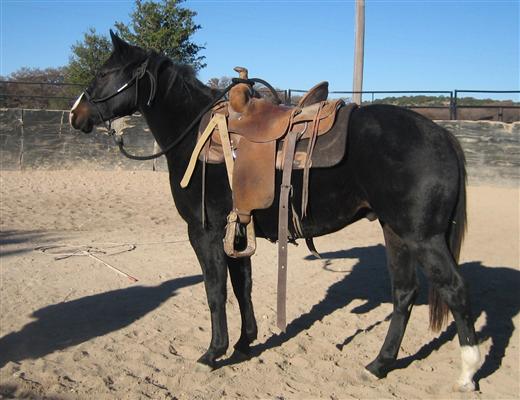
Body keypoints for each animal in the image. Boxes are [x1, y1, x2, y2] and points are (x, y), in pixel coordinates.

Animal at [71, 32, 482, 390]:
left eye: (104, 73)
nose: (77, 114)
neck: (196, 133)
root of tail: (442, 134)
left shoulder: (204, 231)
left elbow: (215, 290)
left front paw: (214, 353)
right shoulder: (236, 228)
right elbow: (243, 287)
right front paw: (244, 343)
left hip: (422, 237)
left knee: (456, 290)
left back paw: (467, 372)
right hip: (396, 232)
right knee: (405, 293)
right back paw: (379, 364)